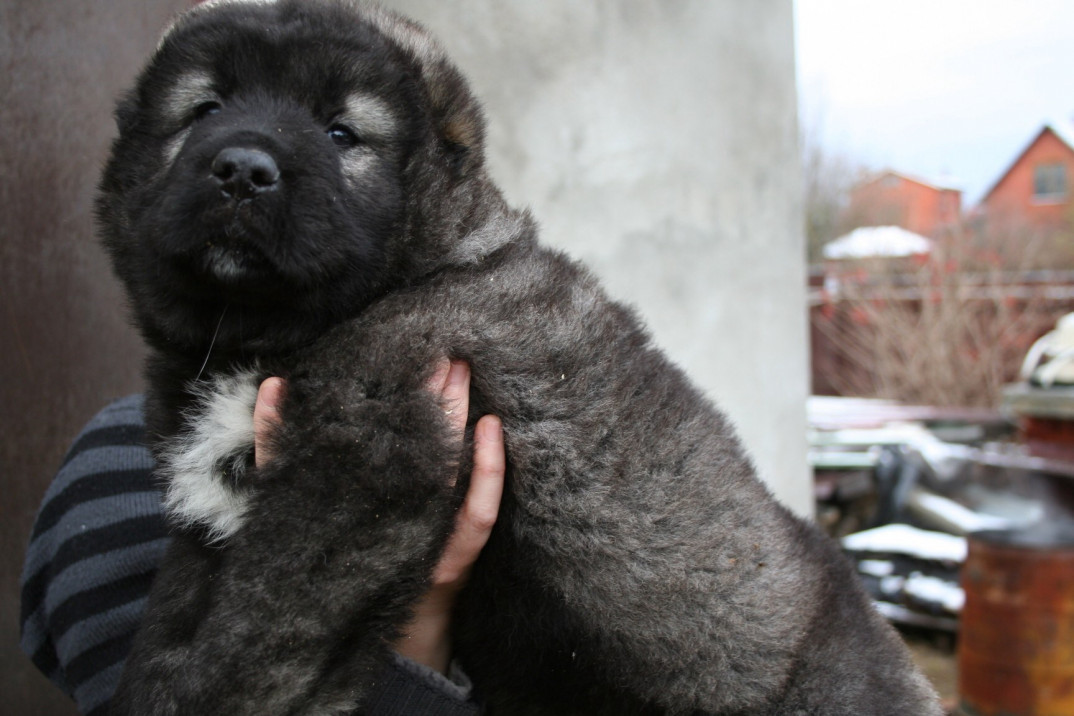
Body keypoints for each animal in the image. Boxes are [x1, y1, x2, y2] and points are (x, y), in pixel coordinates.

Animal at [98, 1, 940, 716]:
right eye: (204, 110)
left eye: (341, 134)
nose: (243, 168)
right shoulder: (218, 514)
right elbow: (176, 624)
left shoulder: (360, 473)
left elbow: (256, 638)